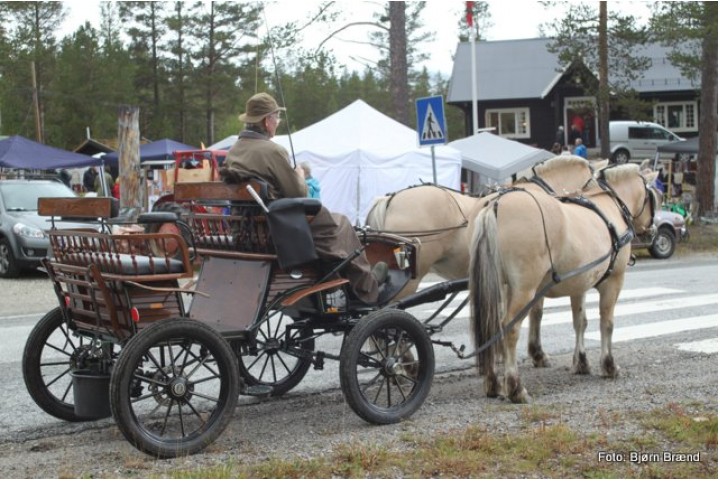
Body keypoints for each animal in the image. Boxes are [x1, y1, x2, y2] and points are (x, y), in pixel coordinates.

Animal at [470, 163, 660, 402]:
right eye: (654, 196)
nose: (654, 231)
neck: (610, 206)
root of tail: (496, 204)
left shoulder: (579, 285)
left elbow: (580, 322)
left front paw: (581, 362)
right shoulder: (614, 281)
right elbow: (606, 323)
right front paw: (609, 365)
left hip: (501, 288)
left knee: (493, 326)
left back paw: (494, 383)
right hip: (524, 290)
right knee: (510, 329)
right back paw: (515, 388)